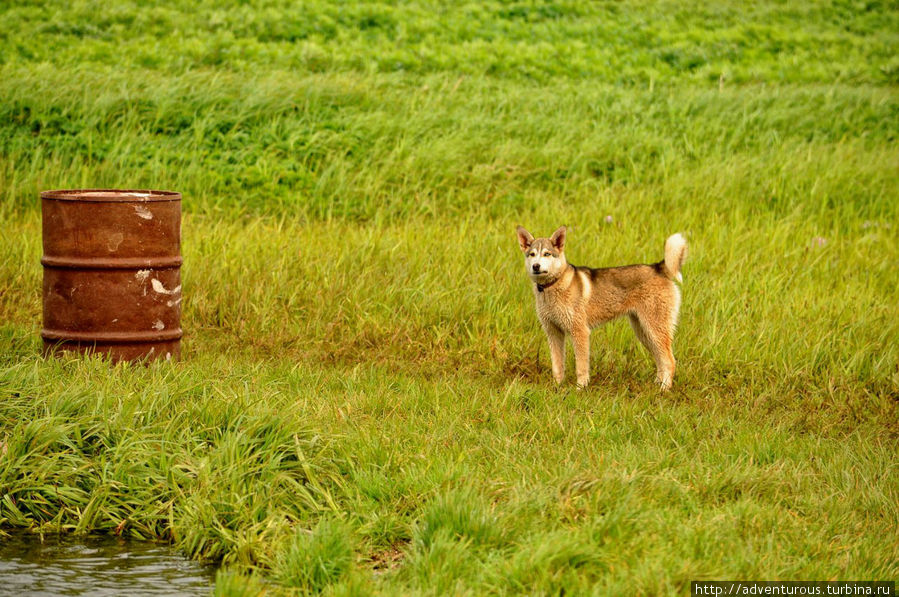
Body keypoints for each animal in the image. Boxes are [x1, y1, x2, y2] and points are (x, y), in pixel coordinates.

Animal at [516, 226, 684, 388]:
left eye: (547, 254)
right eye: (532, 254)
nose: (536, 266)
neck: (554, 285)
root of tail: (658, 267)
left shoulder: (580, 332)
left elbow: (581, 367)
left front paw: (580, 389)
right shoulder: (553, 332)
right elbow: (557, 367)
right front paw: (556, 388)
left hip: (654, 330)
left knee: (670, 361)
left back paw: (664, 389)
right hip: (644, 332)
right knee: (661, 361)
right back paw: (657, 385)